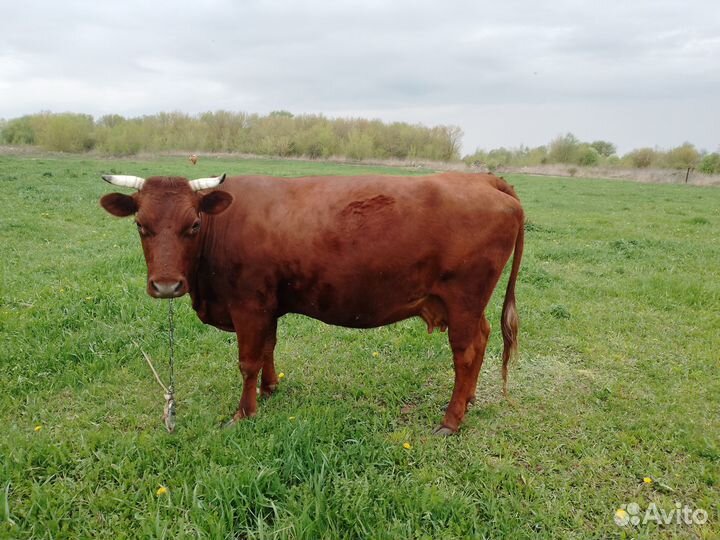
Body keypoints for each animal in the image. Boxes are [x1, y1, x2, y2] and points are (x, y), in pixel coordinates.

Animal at [99, 171, 524, 435]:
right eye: (141, 225)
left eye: (193, 225)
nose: (166, 285)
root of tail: (482, 178)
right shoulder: (267, 305)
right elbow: (268, 349)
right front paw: (270, 389)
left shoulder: (248, 304)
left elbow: (248, 361)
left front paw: (243, 413)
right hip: (469, 306)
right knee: (483, 338)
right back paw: (469, 399)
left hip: (464, 299)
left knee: (465, 353)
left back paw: (451, 420)